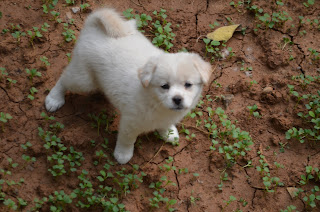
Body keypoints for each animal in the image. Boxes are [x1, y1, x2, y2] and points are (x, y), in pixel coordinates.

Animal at [43, 8, 211, 164]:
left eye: (188, 85)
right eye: (164, 86)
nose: (177, 99)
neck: (155, 101)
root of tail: (93, 26)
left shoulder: (167, 116)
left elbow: (165, 124)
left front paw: (169, 133)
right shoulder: (130, 122)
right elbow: (127, 139)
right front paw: (123, 154)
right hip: (83, 81)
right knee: (64, 79)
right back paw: (54, 99)